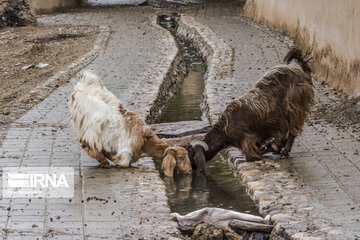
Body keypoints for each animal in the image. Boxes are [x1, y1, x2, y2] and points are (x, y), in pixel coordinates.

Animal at [173, 48, 314, 172]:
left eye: (191, 156)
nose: (190, 169)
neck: (225, 128)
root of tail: (300, 71)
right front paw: (275, 146)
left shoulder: (248, 139)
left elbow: (252, 155)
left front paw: (275, 147)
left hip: (294, 107)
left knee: (293, 130)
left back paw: (284, 151)